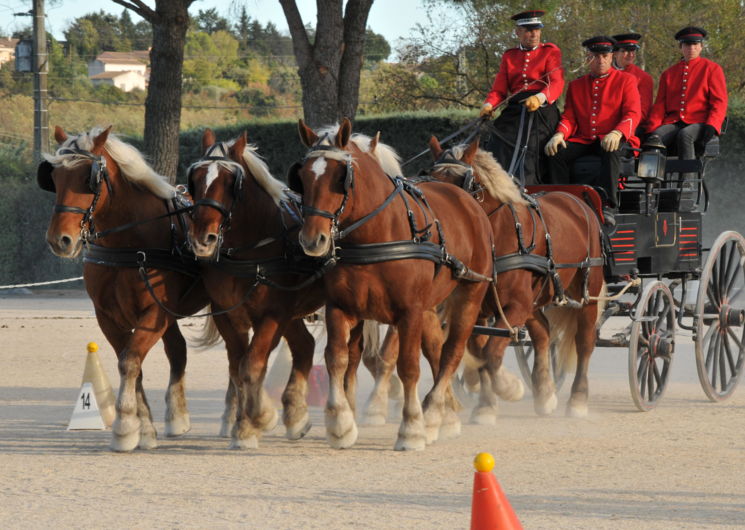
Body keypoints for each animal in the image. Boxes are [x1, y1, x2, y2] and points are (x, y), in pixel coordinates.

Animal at [38, 125, 221, 450]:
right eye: (55, 177)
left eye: (88, 178)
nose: (60, 240)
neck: (128, 242)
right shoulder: (109, 316)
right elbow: (133, 365)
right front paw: (144, 428)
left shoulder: (153, 314)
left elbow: (130, 362)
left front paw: (124, 426)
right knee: (178, 351)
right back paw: (177, 417)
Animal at [290, 117, 494, 448]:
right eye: (303, 176)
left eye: (340, 177)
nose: (312, 239)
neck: (375, 235)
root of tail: (464, 200)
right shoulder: (341, 308)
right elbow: (338, 358)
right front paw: (341, 422)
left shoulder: (408, 312)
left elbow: (408, 366)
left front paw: (411, 428)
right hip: (430, 306)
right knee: (436, 350)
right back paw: (445, 416)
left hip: (470, 296)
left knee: (451, 353)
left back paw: (433, 412)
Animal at [424, 135, 604, 416]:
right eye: (431, 177)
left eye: (463, 183)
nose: (439, 224)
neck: (497, 236)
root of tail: (576, 200)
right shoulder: (481, 308)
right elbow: (480, 352)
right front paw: (486, 405)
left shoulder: (516, 305)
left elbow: (491, 353)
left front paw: (507, 387)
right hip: (535, 299)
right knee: (543, 333)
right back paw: (545, 393)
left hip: (587, 292)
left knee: (584, 341)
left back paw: (577, 399)